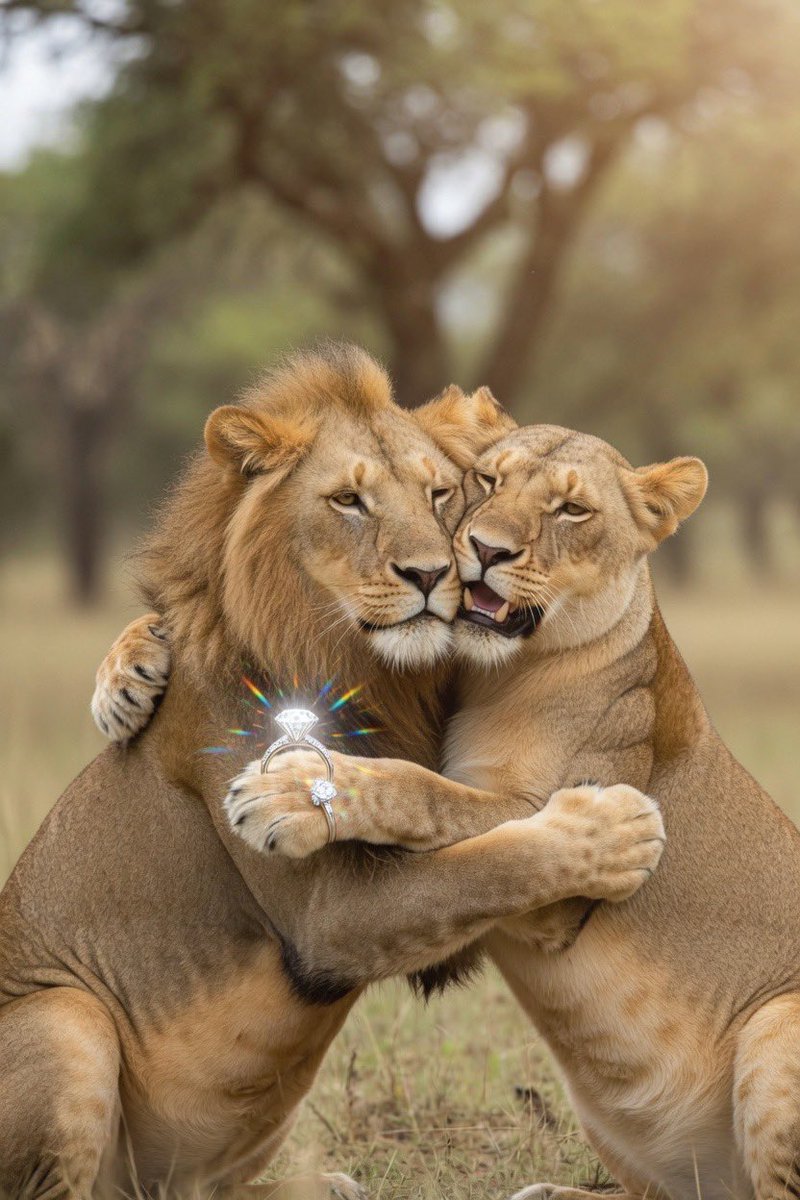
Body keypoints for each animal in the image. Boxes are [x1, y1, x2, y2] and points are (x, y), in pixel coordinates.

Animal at [0, 351, 664, 1200]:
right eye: (348, 500)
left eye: (440, 493)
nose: (432, 573)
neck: (369, 668)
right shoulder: (328, 922)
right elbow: (493, 860)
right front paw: (613, 829)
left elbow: (461, 818)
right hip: (64, 1019)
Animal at [237, 420, 800, 1200]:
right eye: (488, 481)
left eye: (572, 510)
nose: (486, 549)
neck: (498, 679)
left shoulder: (564, 894)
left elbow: (433, 795)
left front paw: (289, 793)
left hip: (779, 1025)